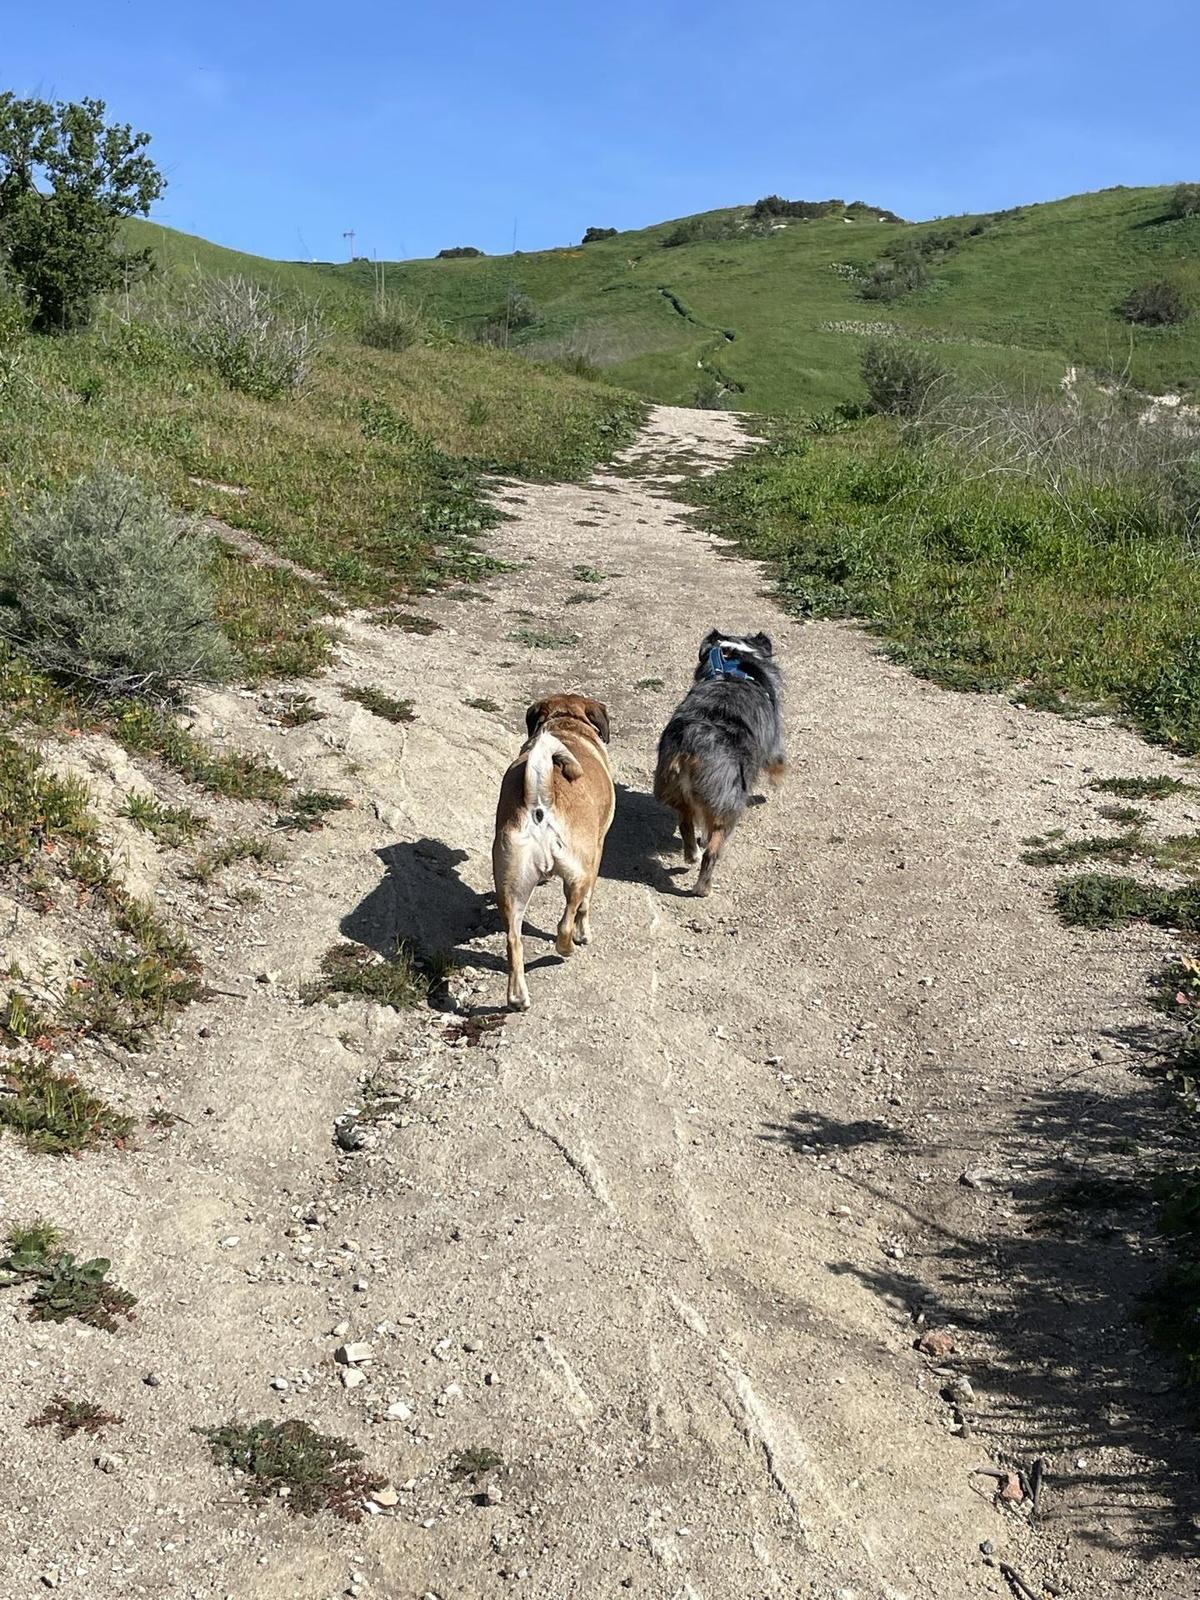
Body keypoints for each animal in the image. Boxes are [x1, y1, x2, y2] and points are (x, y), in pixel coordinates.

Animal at [492, 694, 614, 1004]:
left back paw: (518, 997)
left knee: (513, 941)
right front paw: (584, 933)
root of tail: (540, 800)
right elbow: (585, 907)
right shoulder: (597, 853)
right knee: (565, 923)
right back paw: (567, 948)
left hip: (512, 887)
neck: (566, 724)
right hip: (578, 875)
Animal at [652, 630, 784, 896]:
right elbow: (777, 763)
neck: (732, 664)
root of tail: (689, 749)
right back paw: (703, 887)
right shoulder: (774, 742)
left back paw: (691, 854)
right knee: (712, 850)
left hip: (674, 790)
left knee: (686, 822)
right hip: (728, 805)